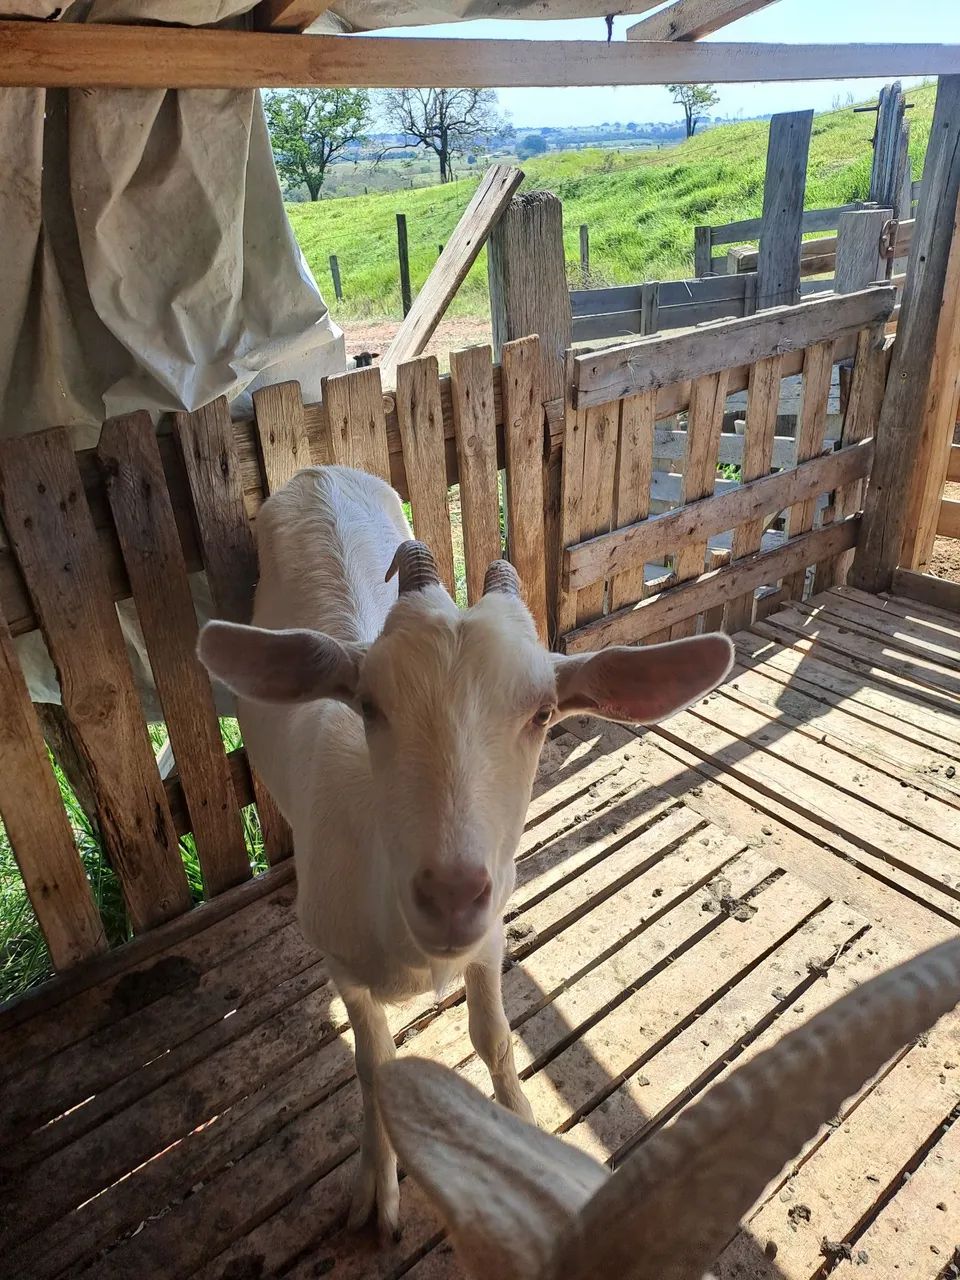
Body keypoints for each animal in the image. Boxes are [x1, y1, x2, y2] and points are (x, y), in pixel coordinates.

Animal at [196, 464, 735, 1240]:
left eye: (544, 712)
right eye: (369, 705)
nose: (450, 897)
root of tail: (317, 469)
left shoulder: (490, 932)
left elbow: (494, 1037)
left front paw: (523, 1128)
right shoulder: (337, 960)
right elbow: (374, 1064)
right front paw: (378, 1189)